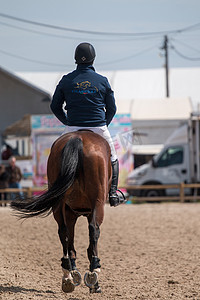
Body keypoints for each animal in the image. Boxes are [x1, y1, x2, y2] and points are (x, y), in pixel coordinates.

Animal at [10, 131, 112, 292]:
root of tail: (78, 138)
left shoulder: (70, 213)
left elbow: (70, 241)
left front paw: (73, 273)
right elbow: (88, 244)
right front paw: (92, 281)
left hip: (59, 204)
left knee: (63, 231)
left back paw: (67, 277)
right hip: (98, 202)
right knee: (94, 230)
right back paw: (93, 273)